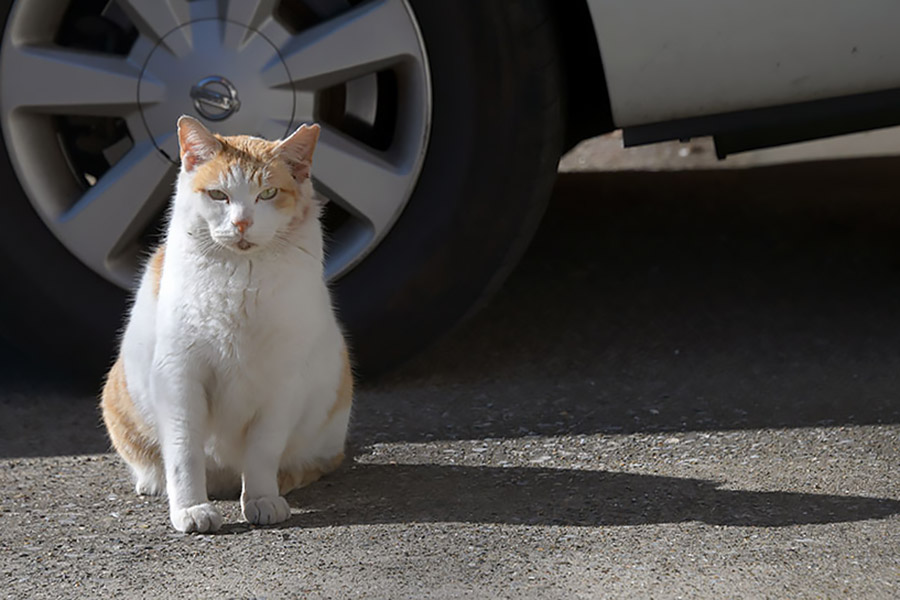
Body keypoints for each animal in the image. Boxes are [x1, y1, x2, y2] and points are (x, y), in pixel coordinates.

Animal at [99, 117, 352, 536]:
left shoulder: (282, 383)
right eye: (218, 195)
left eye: (268, 193)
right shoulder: (179, 377)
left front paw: (262, 497)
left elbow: (263, 451)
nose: (242, 222)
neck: (239, 280)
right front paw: (190, 507)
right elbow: (184, 452)